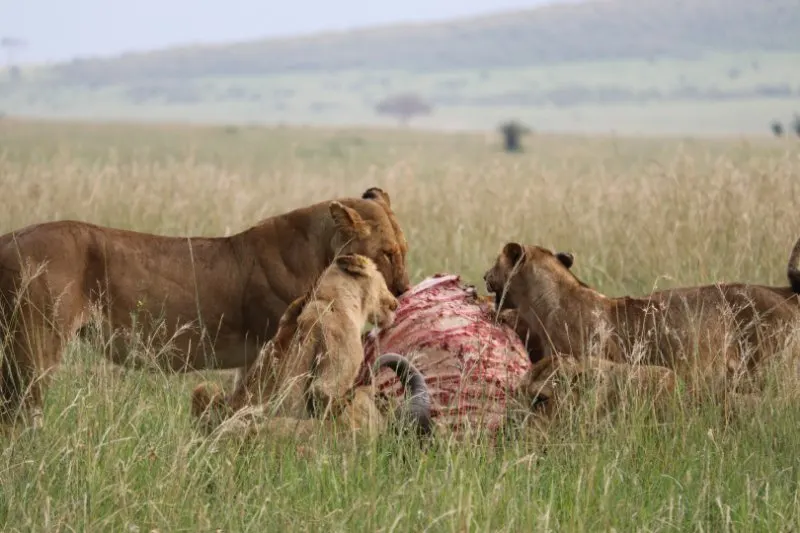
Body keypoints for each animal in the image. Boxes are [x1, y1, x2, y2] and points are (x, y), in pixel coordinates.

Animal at [0, 185, 410, 426]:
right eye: (388, 253)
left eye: (404, 250)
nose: (404, 292)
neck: (321, 251)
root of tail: (8, 238)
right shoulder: (281, 343)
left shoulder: (254, 357)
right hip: (35, 348)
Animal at [192, 254, 432, 440]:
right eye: (381, 275)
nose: (396, 301)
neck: (327, 298)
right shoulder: (340, 358)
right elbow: (327, 393)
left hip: (204, 389)